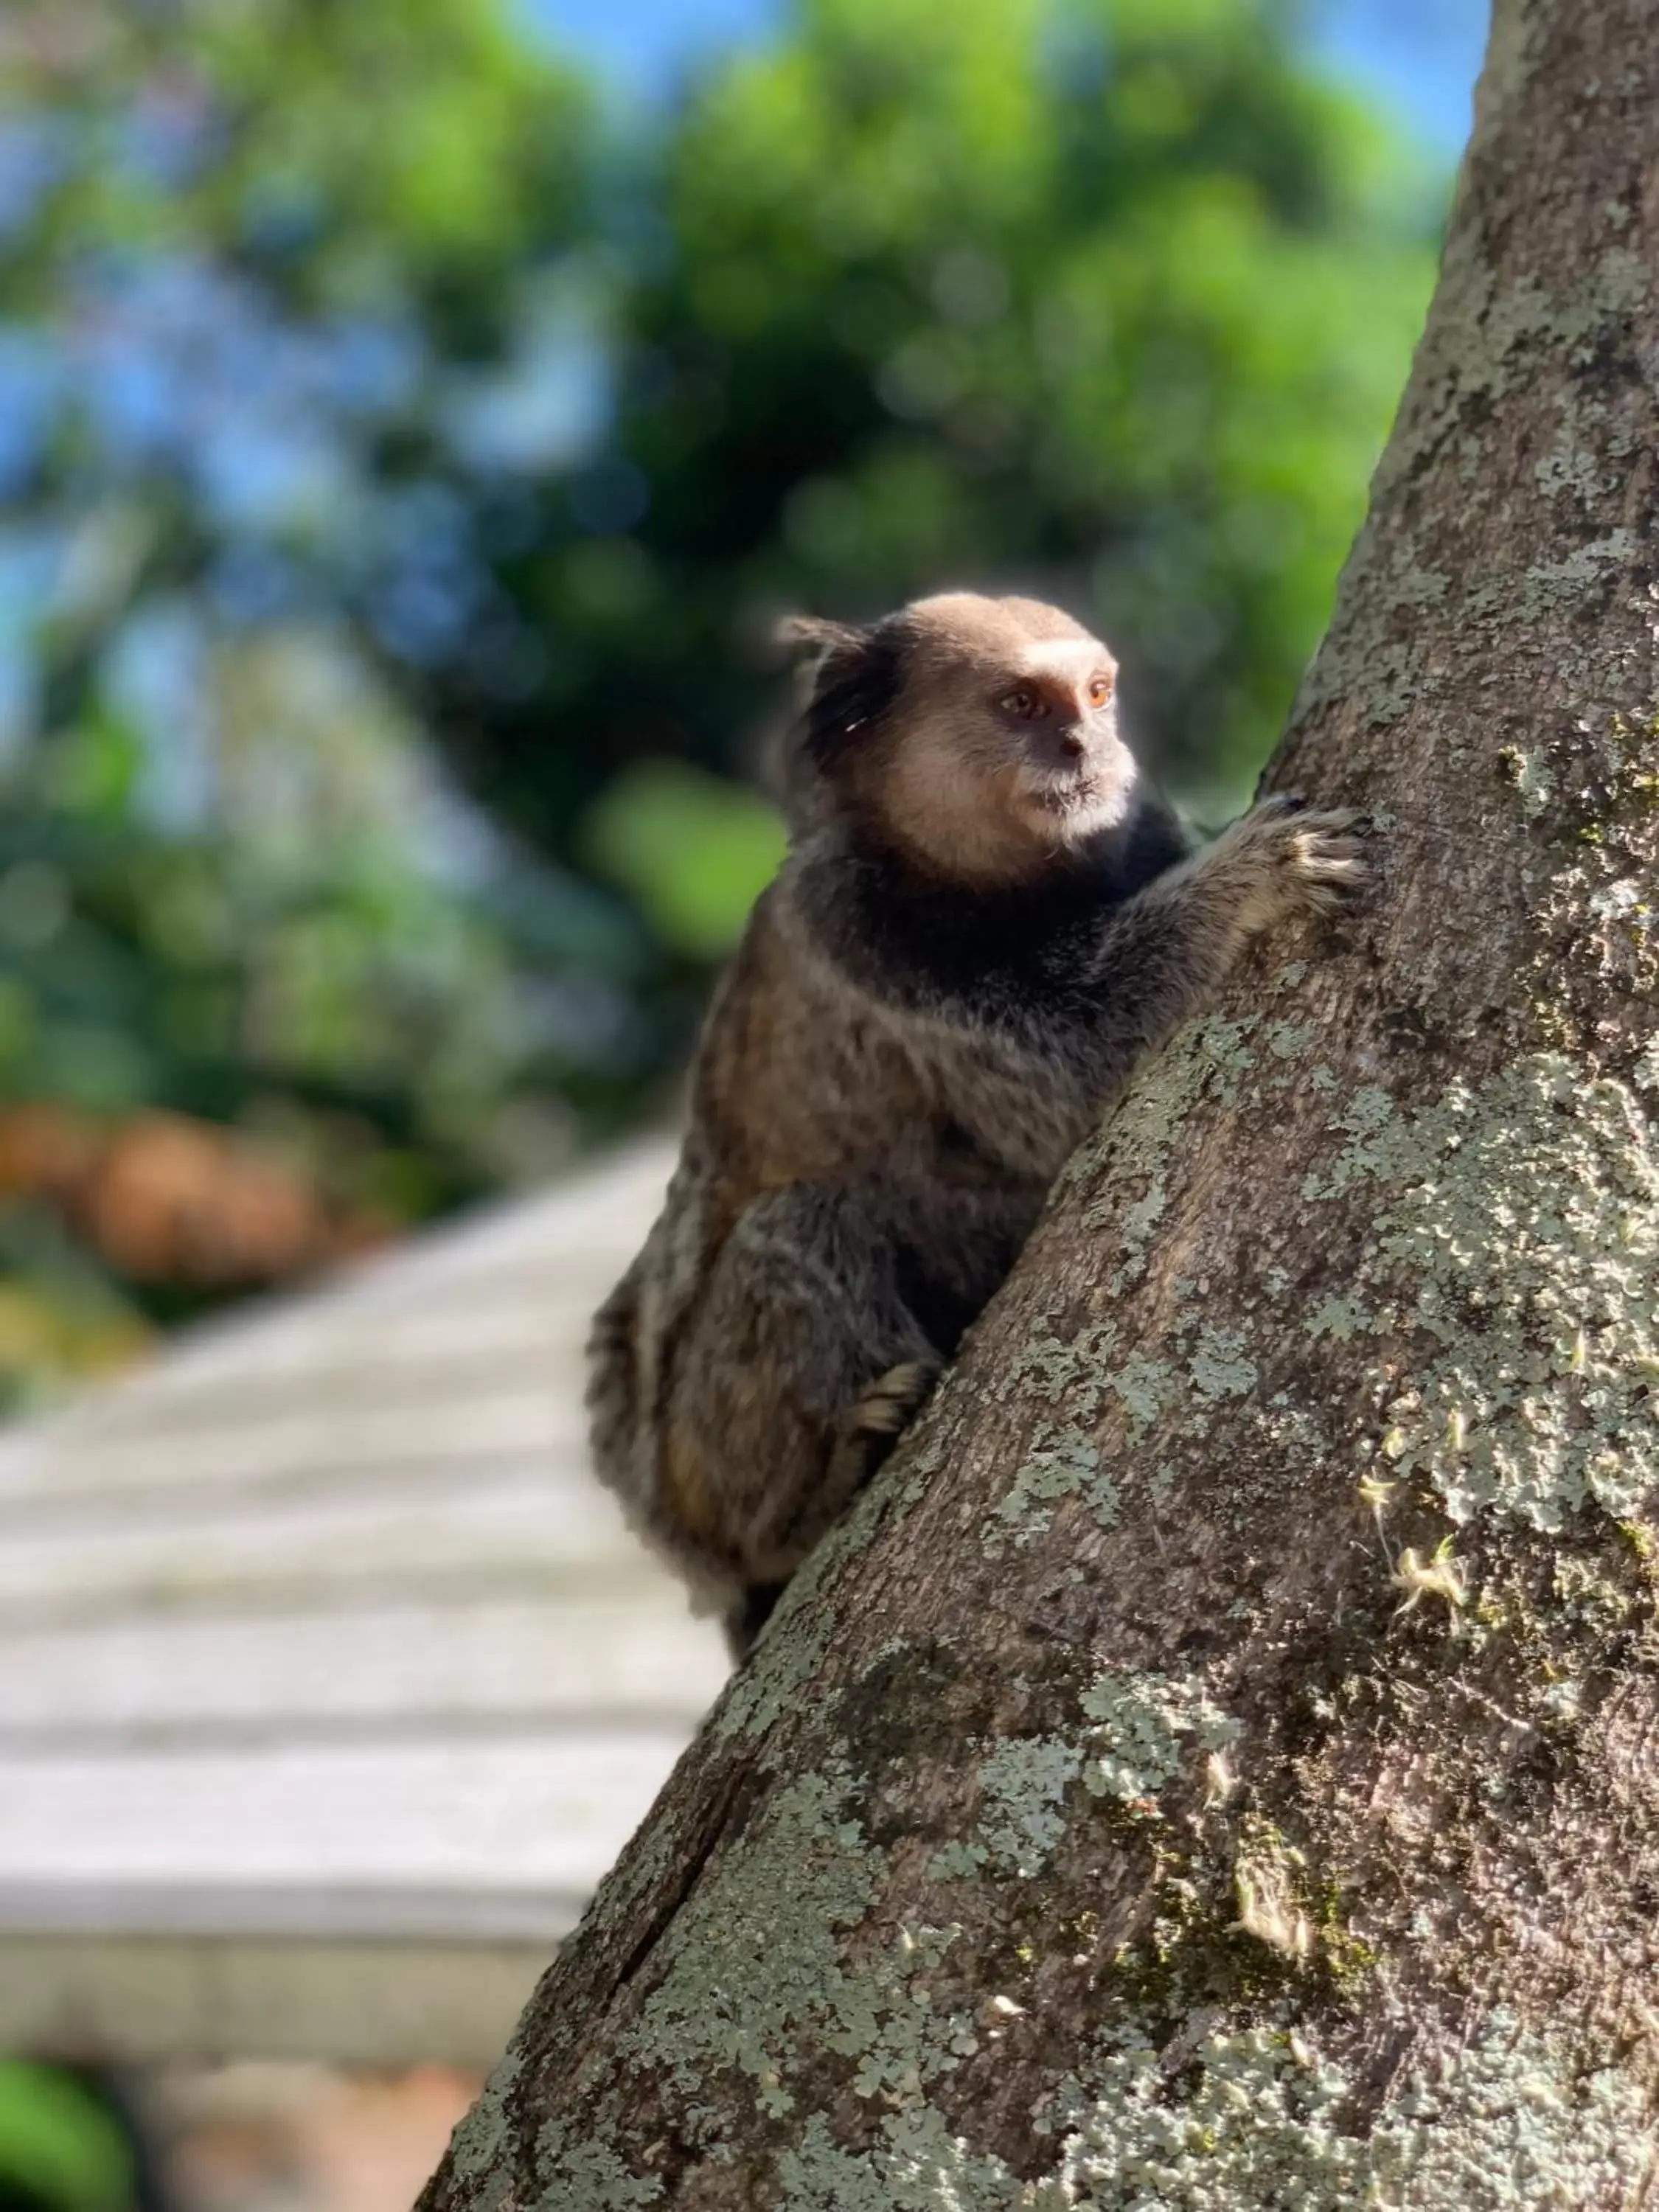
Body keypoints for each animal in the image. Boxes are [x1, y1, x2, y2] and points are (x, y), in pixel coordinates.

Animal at [593, 597, 1371, 1655]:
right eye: (1021, 705)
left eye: (1096, 693)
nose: (1086, 744)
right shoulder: (868, 941)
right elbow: (1076, 1075)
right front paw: (1252, 874)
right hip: (698, 1471)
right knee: (799, 1224)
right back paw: (823, 1492)